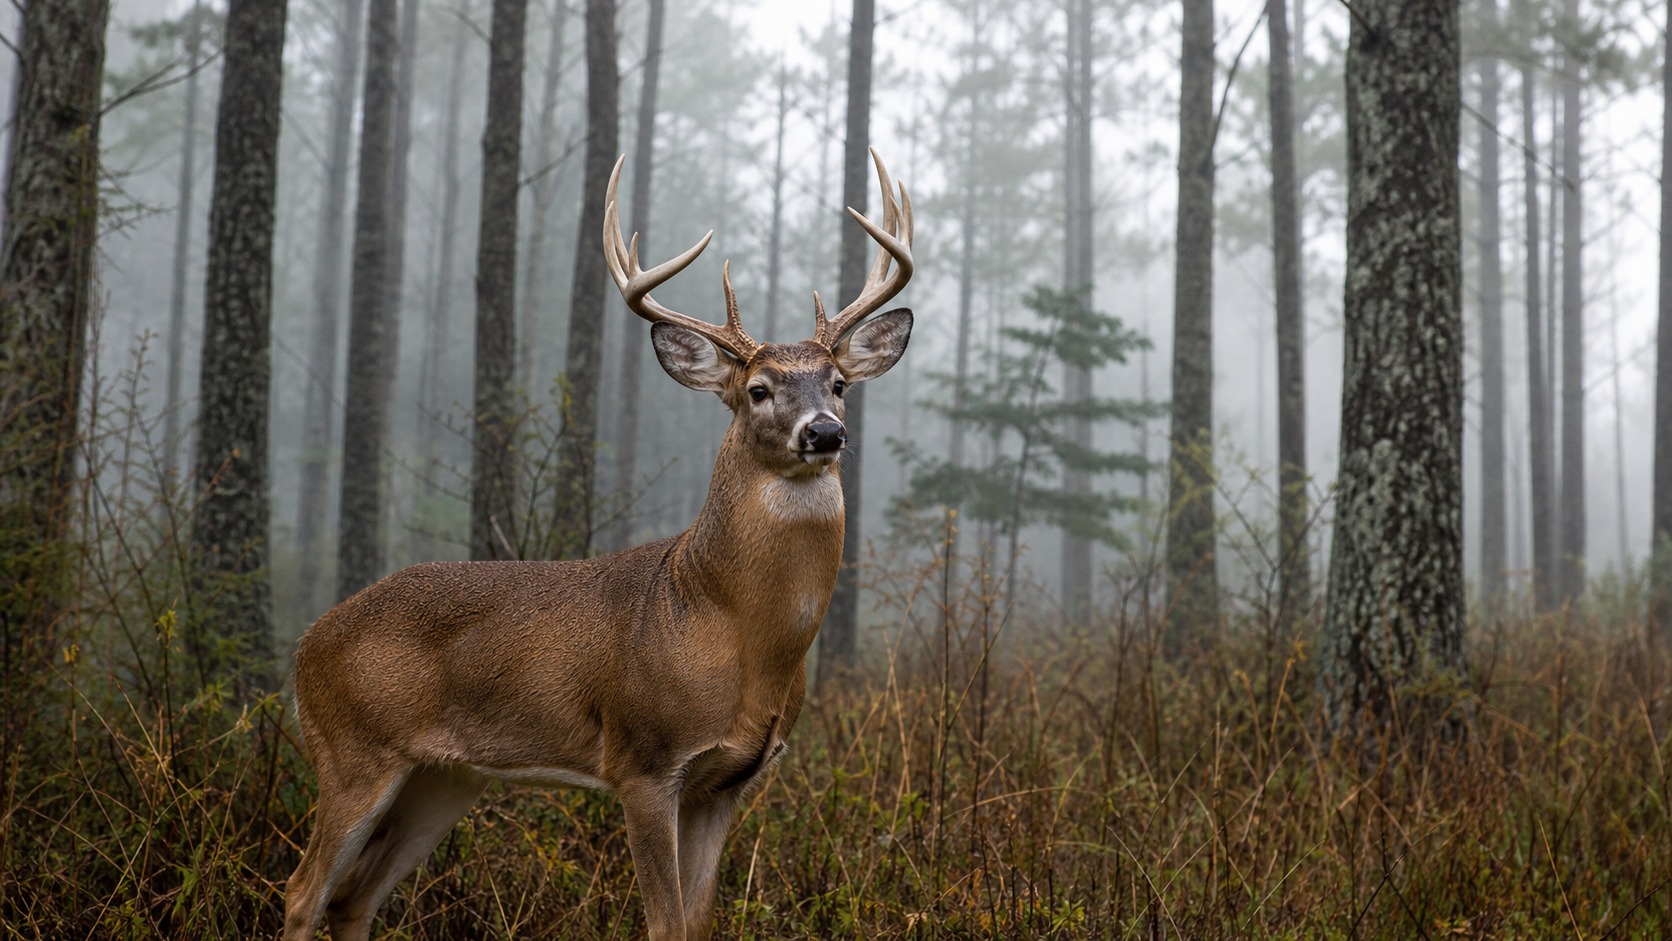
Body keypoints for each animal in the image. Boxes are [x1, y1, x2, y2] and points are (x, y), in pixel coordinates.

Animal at [280, 149, 913, 941]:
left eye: (838, 383)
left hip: (444, 776)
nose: (825, 432)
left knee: (353, 897)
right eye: (760, 389)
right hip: (352, 752)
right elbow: (665, 923)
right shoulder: (642, 760)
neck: (728, 624)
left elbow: (699, 922)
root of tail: (305, 644)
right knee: (302, 892)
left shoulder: (729, 782)